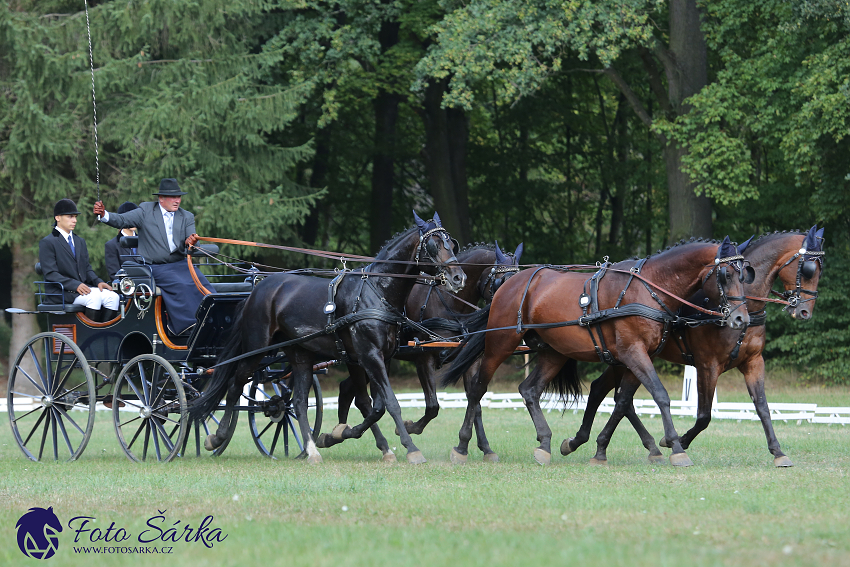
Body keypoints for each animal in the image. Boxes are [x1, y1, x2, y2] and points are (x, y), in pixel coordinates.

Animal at [187, 211, 464, 464]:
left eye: (452, 244)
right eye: (434, 245)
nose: (459, 277)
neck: (376, 291)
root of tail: (258, 289)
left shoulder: (379, 358)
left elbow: (375, 406)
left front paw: (340, 435)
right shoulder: (369, 356)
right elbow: (390, 403)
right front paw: (411, 448)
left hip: (300, 355)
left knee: (298, 402)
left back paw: (311, 450)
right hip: (257, 348)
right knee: (235, 384)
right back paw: (217, 437)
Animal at [322, 241, 524, 462]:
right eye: (502, 282)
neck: (449, 303)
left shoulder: (469, 362)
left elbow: (475, 403)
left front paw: (484, 448)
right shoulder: (424, 360)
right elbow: (433, 406)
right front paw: (410, 428)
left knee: (346, 390)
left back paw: (336, 434)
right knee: (358, 397)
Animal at [440, 235, 744, 466]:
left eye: (745, 273)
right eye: (726, 274)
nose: (741, 318)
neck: (649, 288)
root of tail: (511, 283)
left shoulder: (637, 356)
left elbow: (623, 401)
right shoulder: (633, 353)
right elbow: (660, 395)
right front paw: (677, 448)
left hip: (555, 352)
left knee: (529, 389)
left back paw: (545, 444)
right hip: (500, 343)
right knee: (478, 389)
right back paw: (463, 447)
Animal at [564, 224, 820, 468]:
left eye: (821, 268)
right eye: (808, 268)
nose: (805, 311)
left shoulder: (753, 362)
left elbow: (763, 407)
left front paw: (778, 452)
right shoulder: (708, 365)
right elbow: (704, 415)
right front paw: (677, 442)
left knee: (611, 395)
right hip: (628, 355)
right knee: (614, 397)